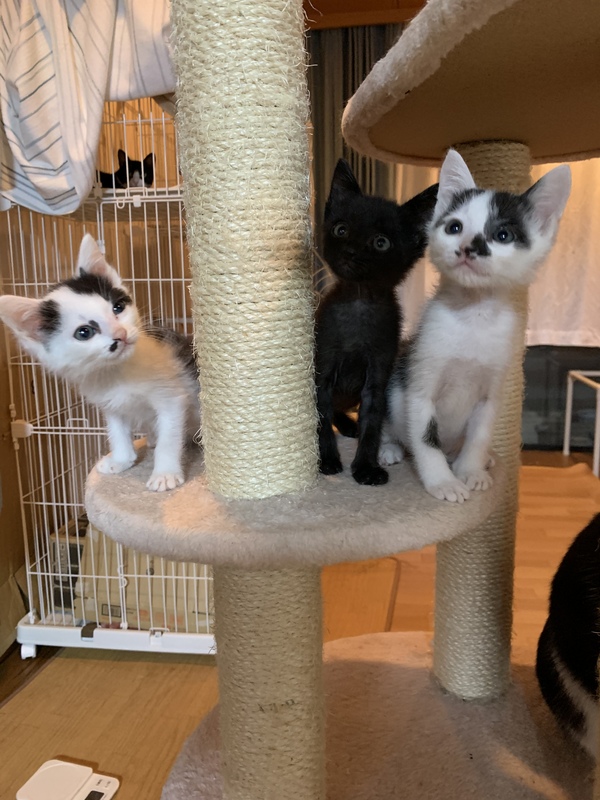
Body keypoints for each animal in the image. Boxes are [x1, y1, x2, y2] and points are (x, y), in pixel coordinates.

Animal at [0, 234, 200, 492]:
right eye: (84, 332)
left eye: (118, 307)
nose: (121, 334)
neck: (117, 372)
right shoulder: (110, 403)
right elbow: (117, 431)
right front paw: (121, 460)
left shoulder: (171, 397)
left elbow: (170, 435)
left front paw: (164, 474)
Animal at [315, 158, 438, 485]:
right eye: (341, 229)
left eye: (381, 243)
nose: (350, 251)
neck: (359, 301)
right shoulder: (321, 371)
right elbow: (320, 417)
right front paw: (327, 460)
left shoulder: (378, 375)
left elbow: (372, 422)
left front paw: (365, 467)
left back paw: (350, 425)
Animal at [380, 149, 571, 502]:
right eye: (454, 227)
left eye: (503, 235)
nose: (468, 246)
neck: (474, 315)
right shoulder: (419, 383)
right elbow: (426, 438)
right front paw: (442, 482)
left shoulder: (492, 392)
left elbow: (480, 435)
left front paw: (470, 470)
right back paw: (389, 448)